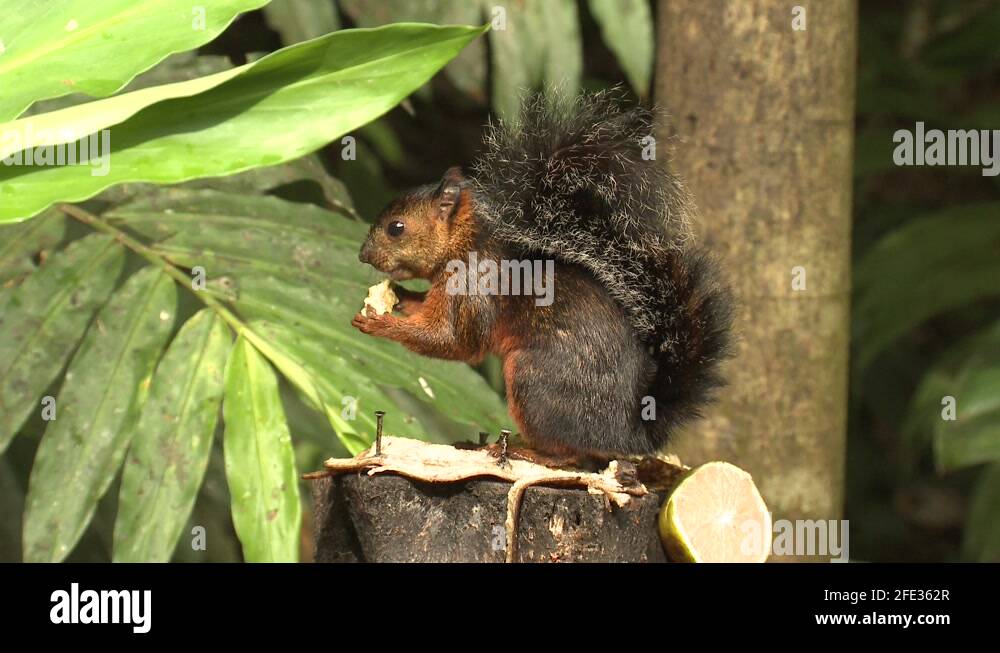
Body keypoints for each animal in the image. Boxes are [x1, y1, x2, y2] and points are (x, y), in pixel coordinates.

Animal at [353, 90, 733, 459]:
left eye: (397, 228)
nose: (362, 256)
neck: (464, 243)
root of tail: (630, 434)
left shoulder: (472, 287)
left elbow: (456, 342)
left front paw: (379, 323)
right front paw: (399, 296)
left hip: (532, 381)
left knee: (571, 455)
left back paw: (526, 452)